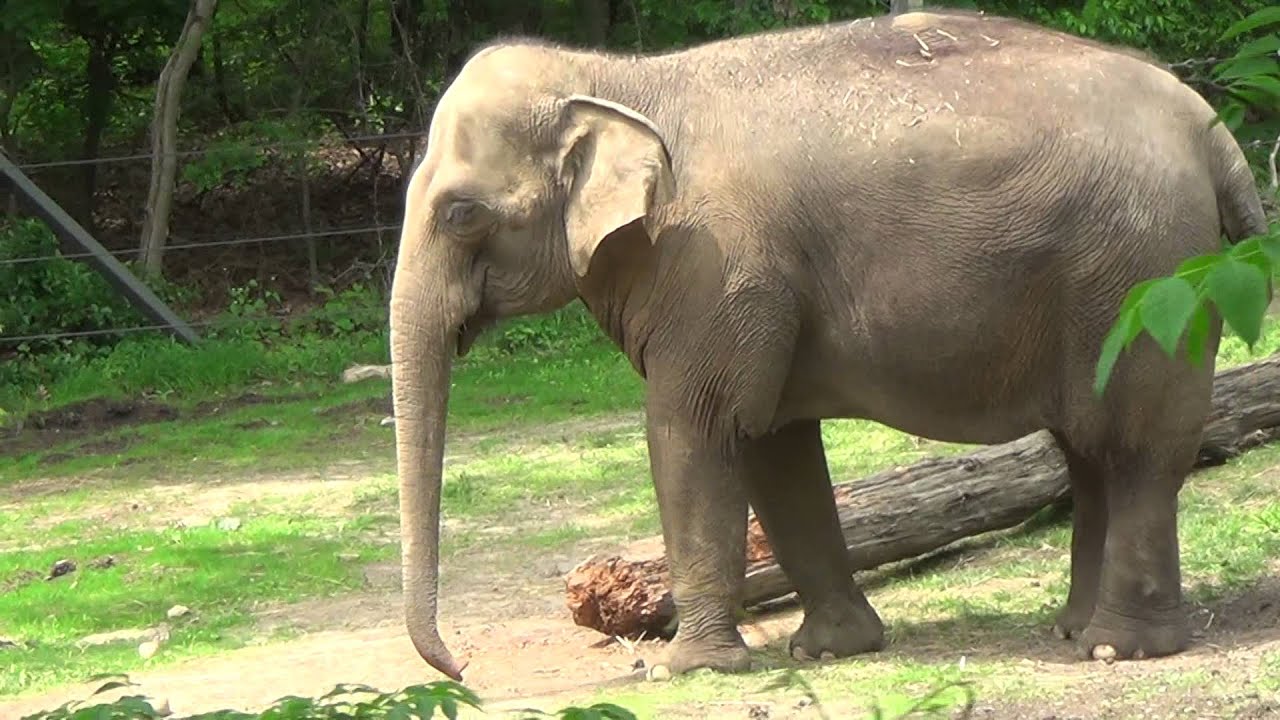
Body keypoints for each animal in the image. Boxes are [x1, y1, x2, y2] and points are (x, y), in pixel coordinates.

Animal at [386, 8, 1268, 681]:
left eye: (461, 213)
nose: (462, 668)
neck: (621, 80)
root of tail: (1209, 127)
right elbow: (773, 446)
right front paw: (828, 651)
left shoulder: (715, 267)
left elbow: (694, 431)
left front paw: (687, 670)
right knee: (1087, 452)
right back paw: (1072, 629)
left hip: (1147, 275)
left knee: (1137, 448)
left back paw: (1120, 647)